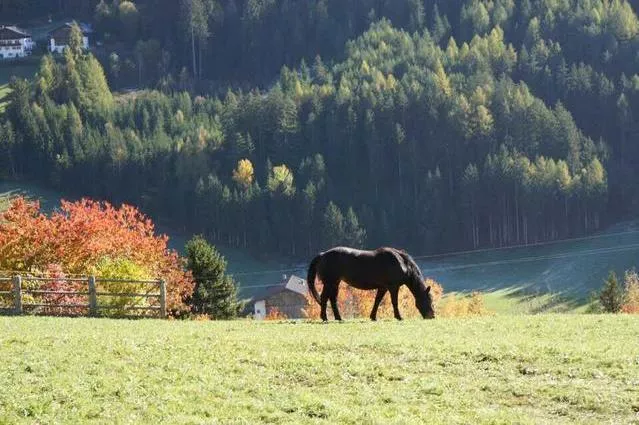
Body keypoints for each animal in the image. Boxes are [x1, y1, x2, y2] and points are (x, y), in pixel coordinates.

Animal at [304, 247, 436, 320]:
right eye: (429, 300)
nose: (432, 316)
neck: (402, 263)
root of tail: (322, 255)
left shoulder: (383, 287)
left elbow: (377, 301)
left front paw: (373, 317)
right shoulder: (393, 287)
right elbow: (394, 302)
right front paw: (399, 317)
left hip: (335, 283)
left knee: (332, 299)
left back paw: (338, 318)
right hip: (330, 282)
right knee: (324, 298)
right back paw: (325, 317)